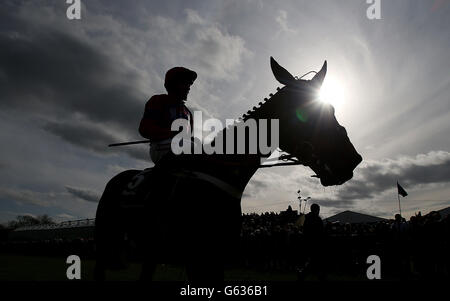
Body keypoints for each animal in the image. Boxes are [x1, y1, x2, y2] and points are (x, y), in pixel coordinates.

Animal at [94, 57, 362, 280]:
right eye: (307, 111)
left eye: (332, 108)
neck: (220, 173)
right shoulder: (197, 258)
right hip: (106, 239)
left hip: (149, 250)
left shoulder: (216, 258)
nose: (351, 160)